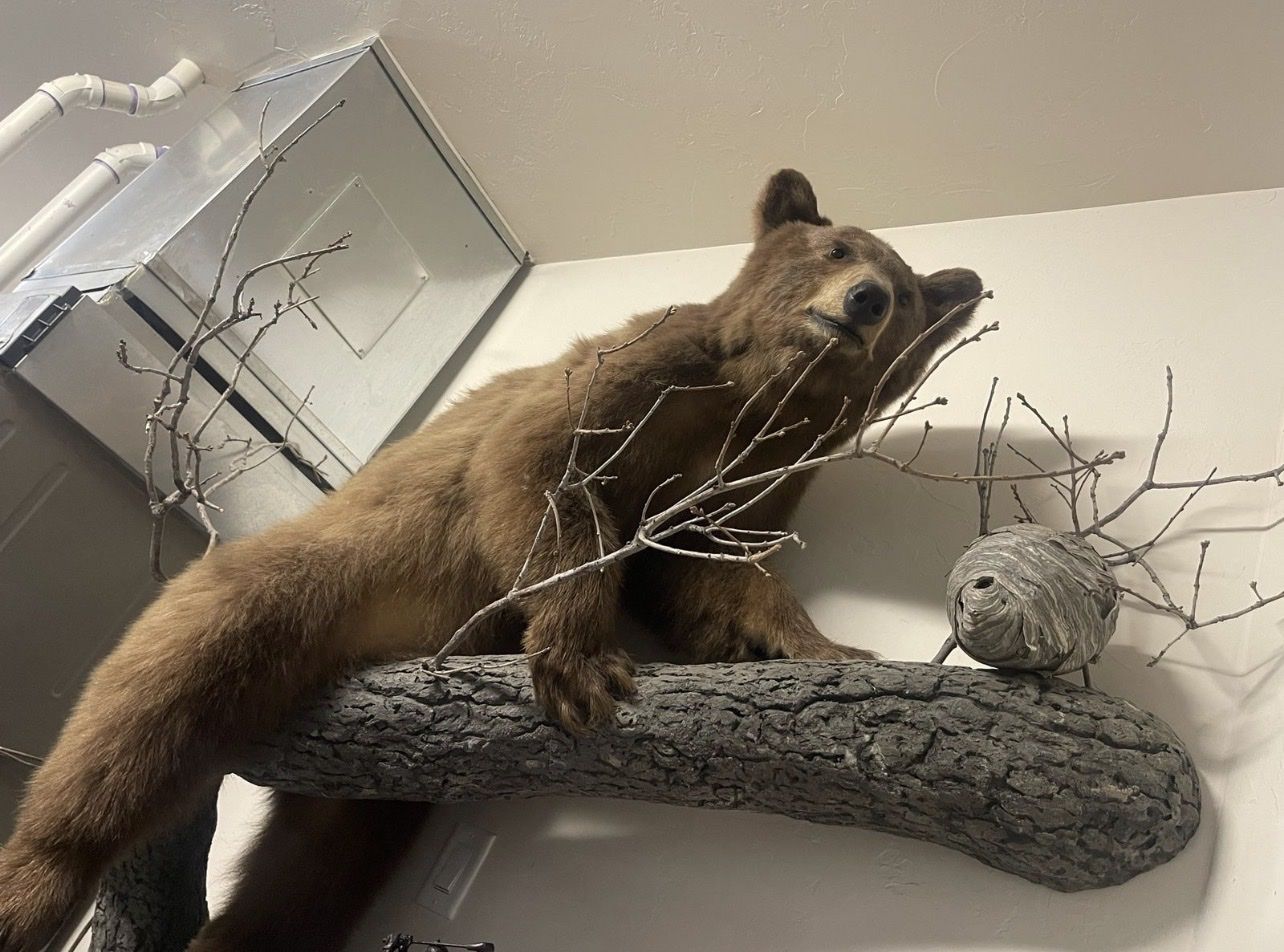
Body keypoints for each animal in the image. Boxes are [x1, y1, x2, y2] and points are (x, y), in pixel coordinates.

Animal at [0, 169, 985, 951]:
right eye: (835, 246)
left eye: (904, 290)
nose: (866, 300)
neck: (758, 398)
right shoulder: (643, 372)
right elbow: (540, 471)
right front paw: (579, 659)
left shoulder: (761, 471)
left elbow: (709, 568)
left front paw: (818, 644)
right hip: (307, 574)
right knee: (153, 695)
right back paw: (33, 886)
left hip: (365, 795)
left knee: (311, 872)